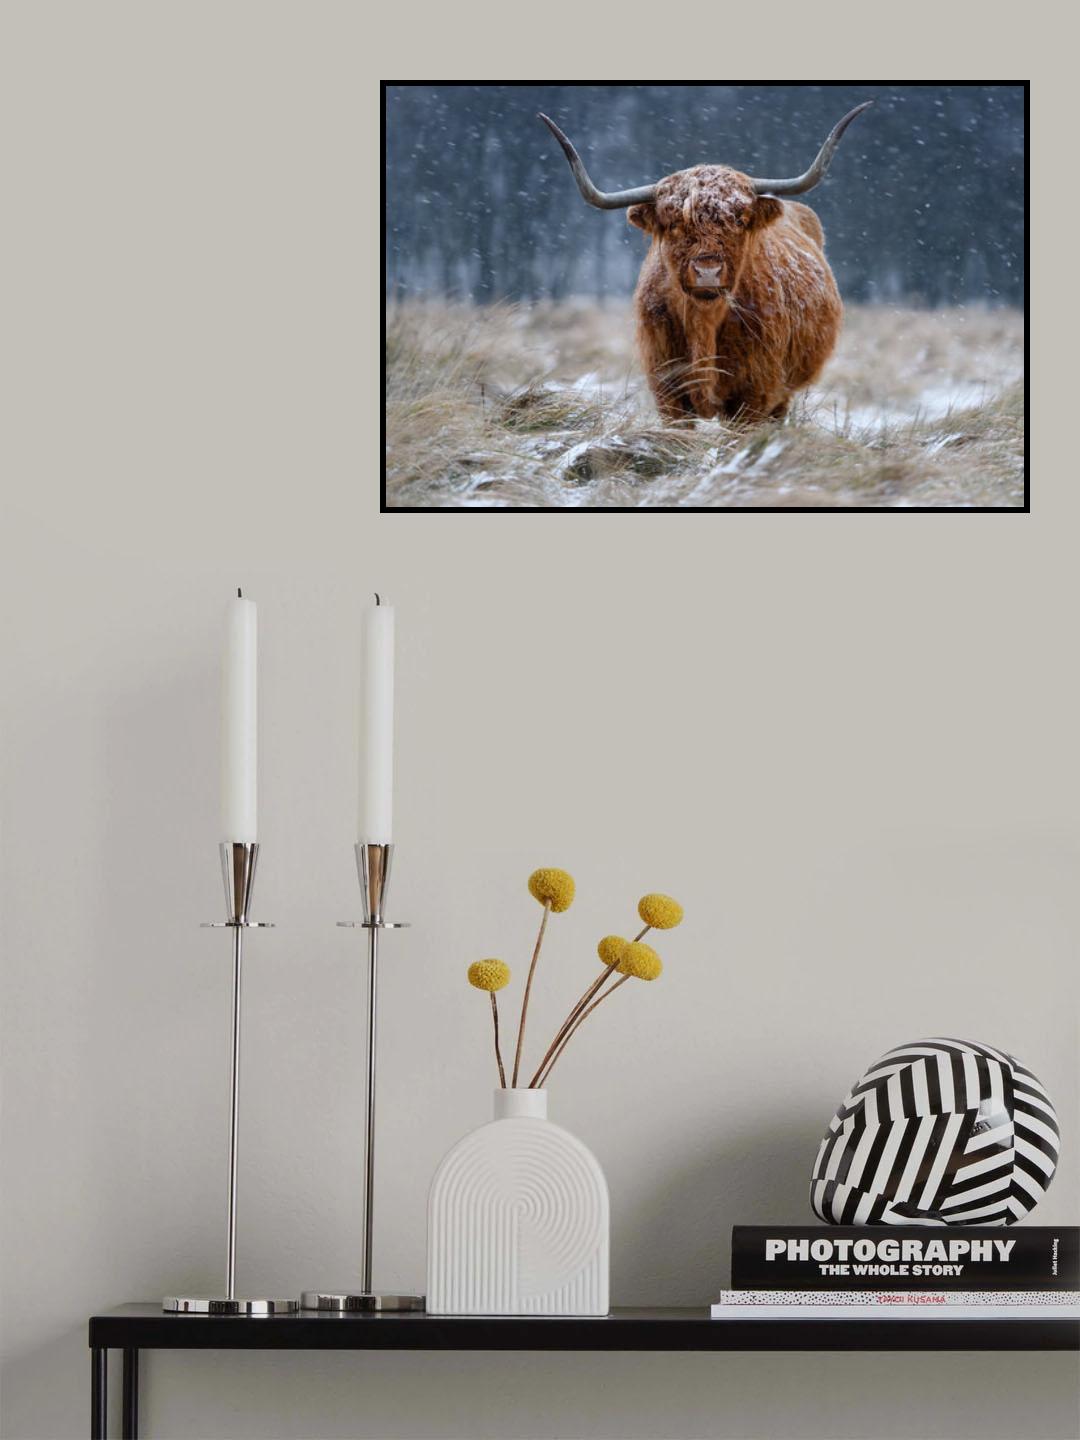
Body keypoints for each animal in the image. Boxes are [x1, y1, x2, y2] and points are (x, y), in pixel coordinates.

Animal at [539, 103, 872, 424]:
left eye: (739, 220)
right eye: (673, 223)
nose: (708, 271)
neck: (704, 323)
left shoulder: (755, 394)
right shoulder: (667, 391)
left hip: (783, 394)